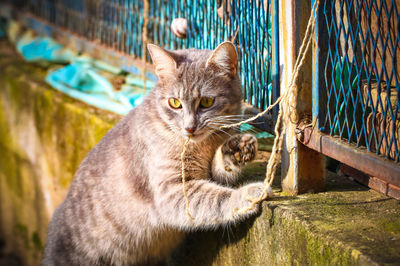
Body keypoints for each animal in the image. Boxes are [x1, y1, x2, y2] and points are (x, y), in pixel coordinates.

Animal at [43, 41, 266, 266]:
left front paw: (236, 149)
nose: (189, 128)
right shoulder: (172, 190)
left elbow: (221, 169)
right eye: (174, 103)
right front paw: (249, 194)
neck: (204, 144)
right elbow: (217, 199)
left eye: (206, 102)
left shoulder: (205, 173)